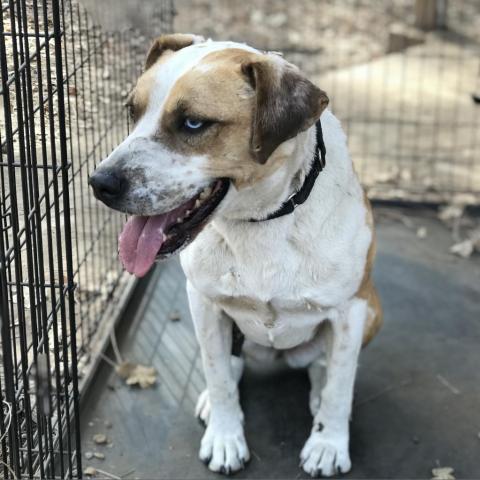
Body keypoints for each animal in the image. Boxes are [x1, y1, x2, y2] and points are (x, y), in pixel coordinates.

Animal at [89, 32, 382, 476]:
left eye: (193, 123)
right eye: (132, 110)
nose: (100, 183)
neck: (263, 220)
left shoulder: (351, 310)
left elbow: (339, 386)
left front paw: (329, 443)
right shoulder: (204, 303)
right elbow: (219, 377)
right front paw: (226, 436)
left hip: (373, 314)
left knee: (322, 367)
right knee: (233, 361)